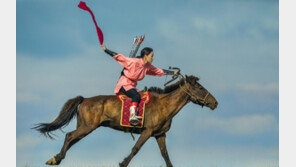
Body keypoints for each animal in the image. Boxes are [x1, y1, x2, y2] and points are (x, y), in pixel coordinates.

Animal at [33, 74, 217, 167]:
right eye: (200, 88)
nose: (215, 103)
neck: (165, 105)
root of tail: (84, 99)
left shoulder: (160, 135)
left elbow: (165, 155)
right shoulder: (148, 131)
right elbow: (135, 149)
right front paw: (122, 164)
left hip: (86, 127)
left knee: (71, 139)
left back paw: (56, 158)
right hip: (87, 127)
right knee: (69, 136)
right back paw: (55, 159)